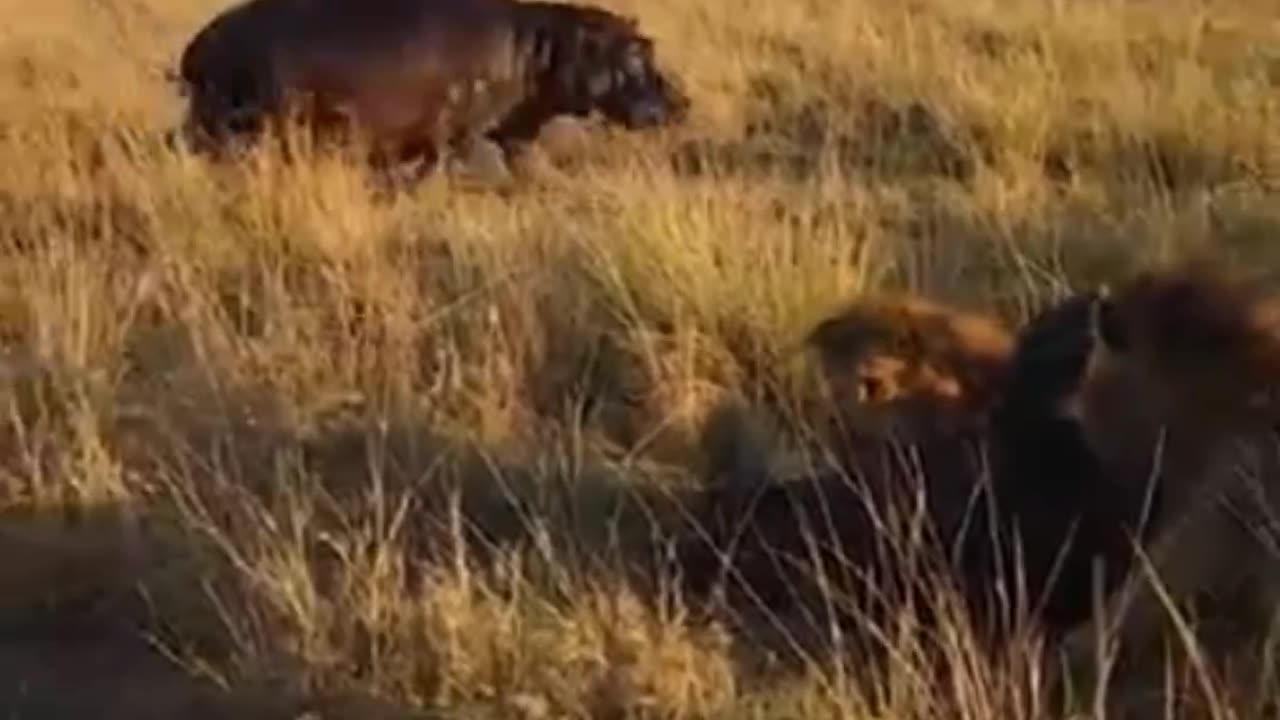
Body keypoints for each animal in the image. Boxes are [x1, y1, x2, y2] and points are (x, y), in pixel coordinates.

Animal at [176, 0, 696, 172]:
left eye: (647, 43)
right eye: (636, 52)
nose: (682, 102)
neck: (547, 46)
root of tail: (198, 44)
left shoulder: (513, 131)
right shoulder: (461, 132)